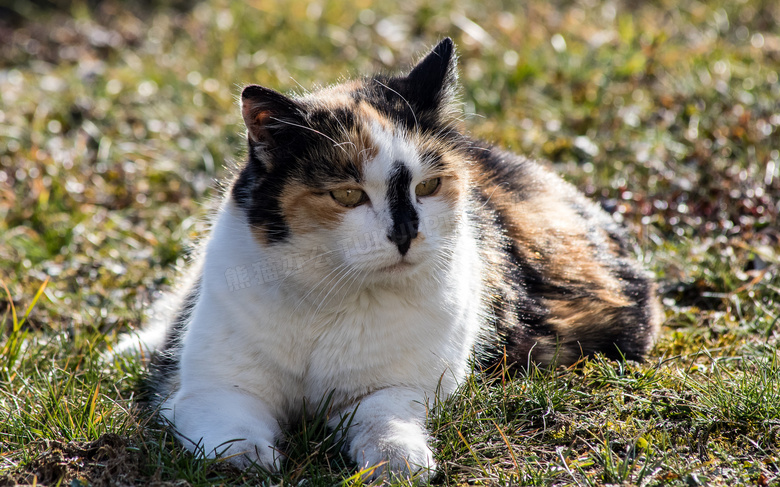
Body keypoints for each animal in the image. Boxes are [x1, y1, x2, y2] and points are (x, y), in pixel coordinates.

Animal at [119, 39, 660, 484]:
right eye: (347, 194)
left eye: (429, 185)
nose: (405, 234)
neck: (333, 299)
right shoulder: (211, 389)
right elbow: (228, 433)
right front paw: (248, 460)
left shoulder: (400, 385)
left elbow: (384, 418)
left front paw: (398, 462)